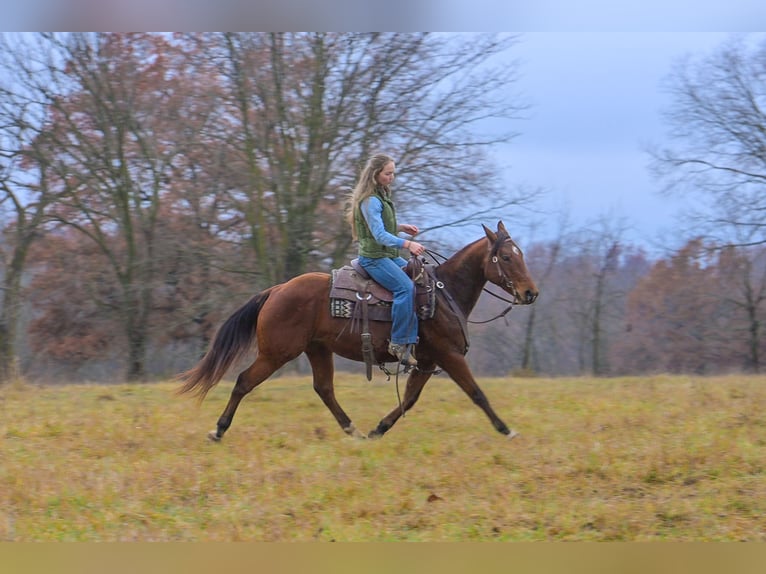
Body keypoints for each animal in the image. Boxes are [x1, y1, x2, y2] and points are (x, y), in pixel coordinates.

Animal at [176, 220, 538, 440]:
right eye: (507, 257)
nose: (530, 293)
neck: (443, 293)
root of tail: (276, 290)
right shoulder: (448, 355)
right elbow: (476, 393)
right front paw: (506, 429)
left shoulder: (426, 361)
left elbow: (410, 398)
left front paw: (379, 429)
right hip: (277, 353)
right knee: (243, 382)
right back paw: (219, 430)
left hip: (317, 349)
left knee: (324, 388)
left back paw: (353, 431)